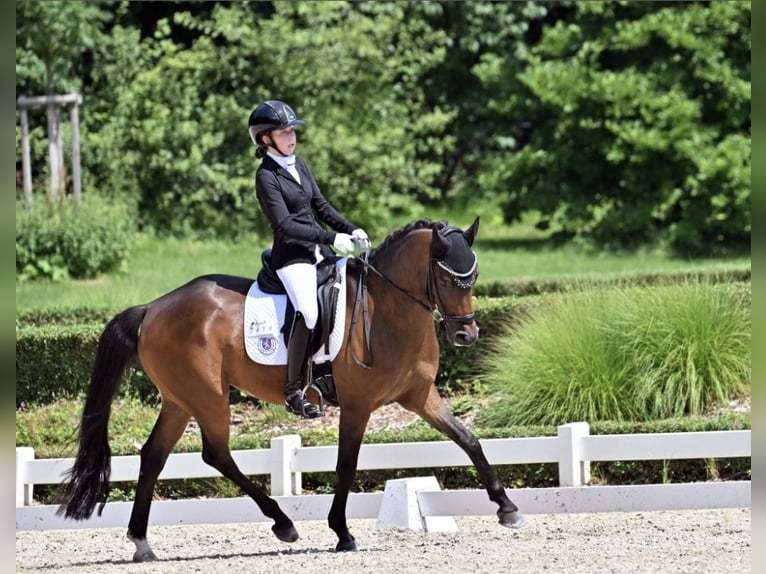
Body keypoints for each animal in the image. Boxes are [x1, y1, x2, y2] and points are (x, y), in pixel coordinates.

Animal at [61, 216, 528, 564]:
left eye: (474, 276)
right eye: (447, 279)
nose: (466, 335)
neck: (387, 309)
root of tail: (154, 307)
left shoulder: (419, 396)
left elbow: (468, 439)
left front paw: (507, 508)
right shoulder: (357, 405)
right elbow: (346, 465)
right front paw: (342, 533)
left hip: (180, 400)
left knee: (154, 456)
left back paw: (142, 542)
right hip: (207, 396)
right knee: (215, 453)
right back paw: (283, 523)